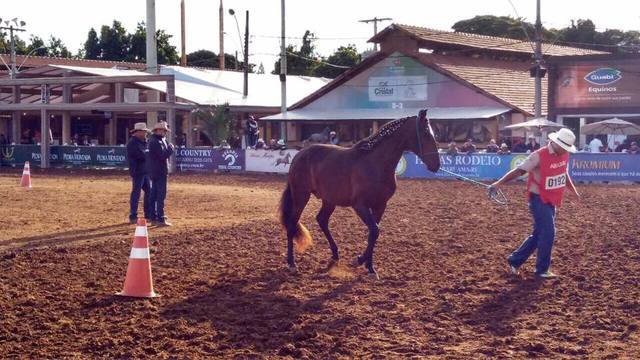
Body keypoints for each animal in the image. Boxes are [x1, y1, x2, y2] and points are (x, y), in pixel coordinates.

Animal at [278, 108, 440, 278]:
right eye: (425, 133)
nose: (436, 165)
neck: (376, 164)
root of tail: (299, 155)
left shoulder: (380, 206)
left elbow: (374, 233)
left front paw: (368, 266)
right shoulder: (360, 206)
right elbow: (374, 230)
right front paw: (361, 261)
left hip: (329, 200)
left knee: (321, 220)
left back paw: (335, 255)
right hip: (301, 196)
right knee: (292, 224)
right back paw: (292, 264)